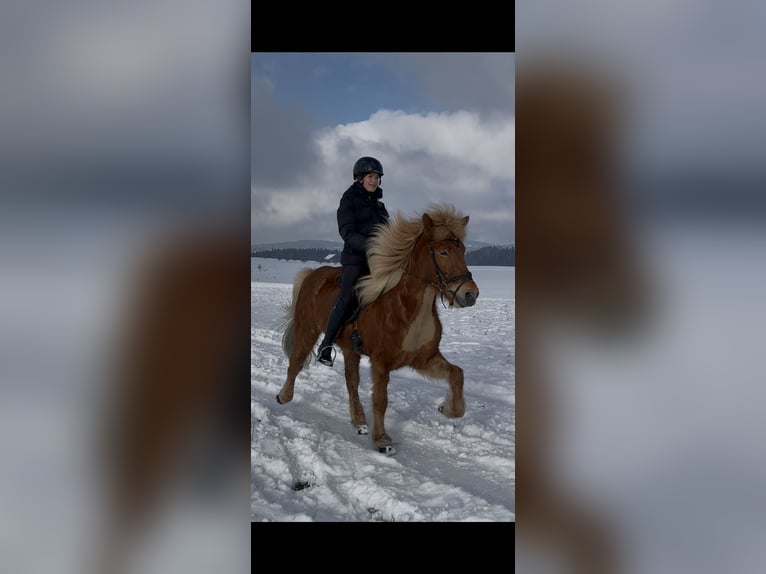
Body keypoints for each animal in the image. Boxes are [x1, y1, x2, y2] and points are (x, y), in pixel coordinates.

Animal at [275, 203, 480, 456]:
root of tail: (312, 274)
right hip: (307, 330)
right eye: (443, 252)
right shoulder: (381, 362)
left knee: (351, 381)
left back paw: (359, 421)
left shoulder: (424, 358)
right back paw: (284, 396)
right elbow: (381, 400)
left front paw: (448, 409)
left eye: (463, 251)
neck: (406, 307)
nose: (470, 294)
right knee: (295, 363)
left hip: (350, 349)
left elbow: (457, 374)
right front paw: (382, 440)